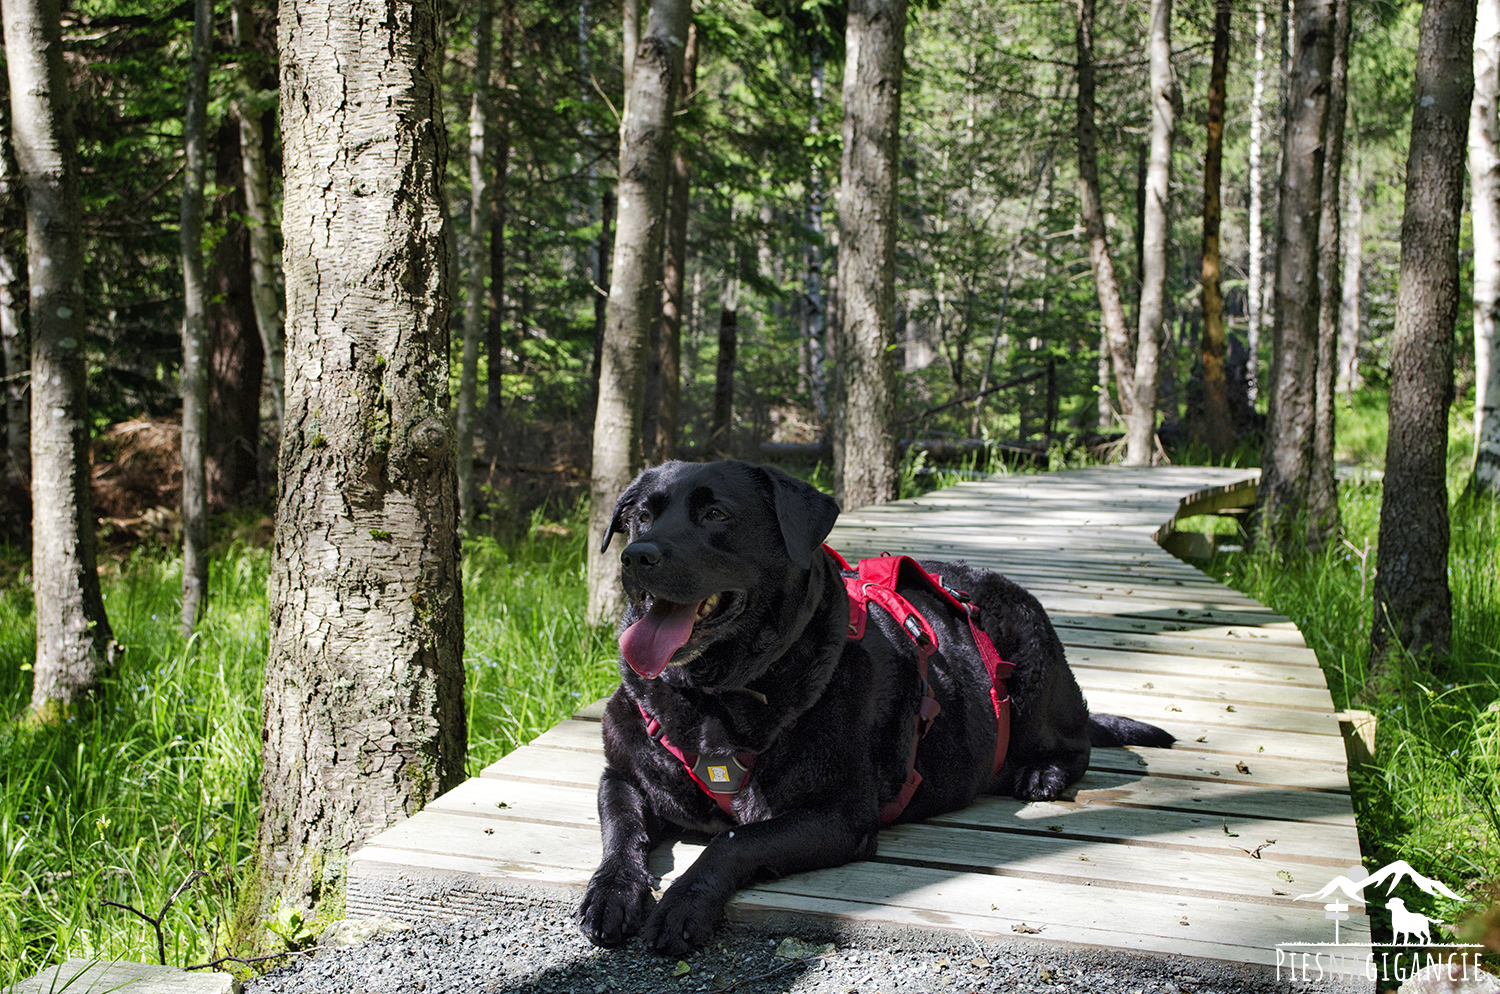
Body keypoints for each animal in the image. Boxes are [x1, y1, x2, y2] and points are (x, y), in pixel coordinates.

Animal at [573, 461, 1170, 959]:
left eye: (715, 514)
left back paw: (1042, 772)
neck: (712, 698)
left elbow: (733, 840)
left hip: (1033, 669)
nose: (637, 556)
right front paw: (612, 891)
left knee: (1076, 741)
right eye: (641, 516)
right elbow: (620, 829)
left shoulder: (837, 814)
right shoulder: (622, 774)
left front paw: (684, 903)